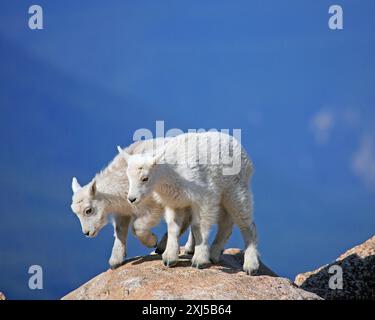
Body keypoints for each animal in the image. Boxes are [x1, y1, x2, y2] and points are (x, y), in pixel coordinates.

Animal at [120, 131, 258, 274]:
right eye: (128, 177)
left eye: (145, 178)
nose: (132, 199)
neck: (169, 175)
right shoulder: (175, 202)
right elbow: (173, 227)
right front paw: (170, 258)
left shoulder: (205, 197)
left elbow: (199, 227)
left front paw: (200, 260)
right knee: (225, 223)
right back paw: (209, 252)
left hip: (235, 190)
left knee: (246, 224)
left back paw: (250, 265)